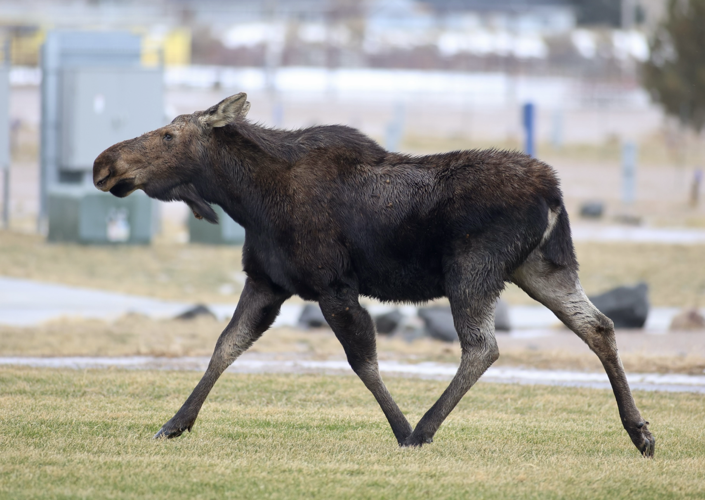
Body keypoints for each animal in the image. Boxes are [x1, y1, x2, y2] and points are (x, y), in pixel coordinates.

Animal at [93, 93, 654, 457]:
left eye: (169, 134)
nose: (104, 163)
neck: (247, 199)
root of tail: (553, 193)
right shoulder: (266, 282)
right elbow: (225, 346)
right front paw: (174, 423)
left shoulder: (331, 285)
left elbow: (362, 359)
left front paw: (402, 429)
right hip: (540, 268)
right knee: (598, 326)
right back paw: (640, 432)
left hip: (473, 269)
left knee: (483, 347)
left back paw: (424, 430)